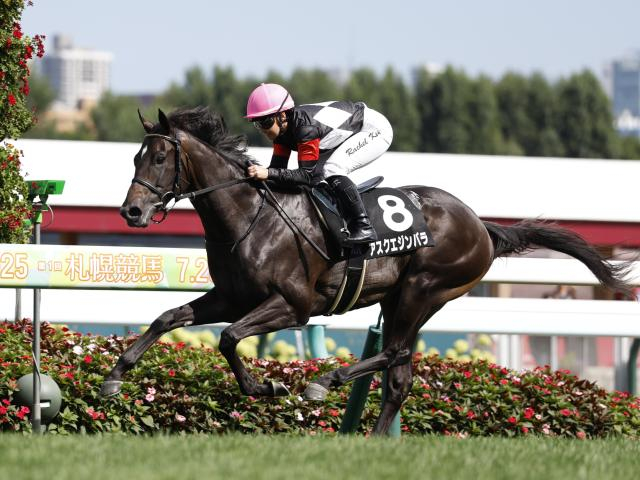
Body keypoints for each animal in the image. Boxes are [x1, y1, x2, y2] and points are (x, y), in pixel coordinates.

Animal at [100, 106, 633, 435]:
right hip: (403, 298)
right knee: (399, 374)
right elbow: (167, 318)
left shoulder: (292, 305)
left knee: (393, 353)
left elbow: (230, 338)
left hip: (423, 289)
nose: (132, 212)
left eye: (161, 156)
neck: (250, 215)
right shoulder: (232, 296)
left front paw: (265, 386)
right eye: (136, 155)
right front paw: (115, 376)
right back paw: (372, 438)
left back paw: (324, 382)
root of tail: (481, 225)